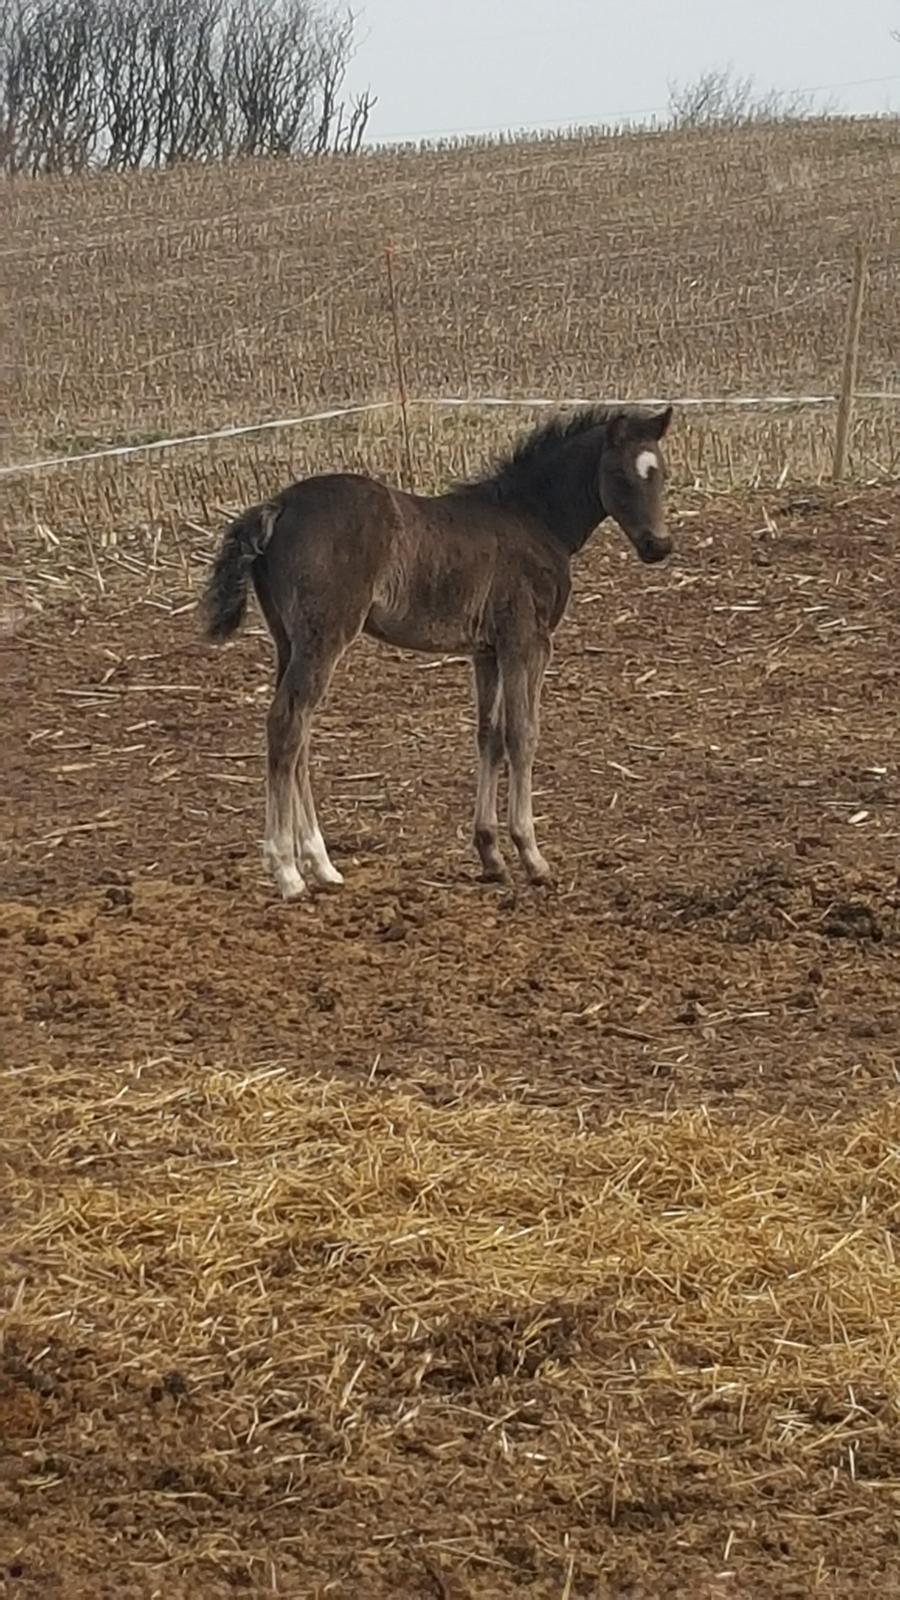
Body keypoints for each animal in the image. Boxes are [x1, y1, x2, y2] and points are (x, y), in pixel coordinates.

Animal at [201, 403, 666, 902]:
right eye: (618, 474)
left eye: (661, 473)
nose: (659, 546)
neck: (533, 519)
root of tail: (279, 505)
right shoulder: (527, 643)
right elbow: (522, 735)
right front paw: (531, 856)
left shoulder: (486, 652)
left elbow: (489, 736)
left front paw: (491, 856)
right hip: (323, 637)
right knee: (288, 724)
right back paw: (287, 871)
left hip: (287, 640)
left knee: (297, 732)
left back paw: (322, 864)